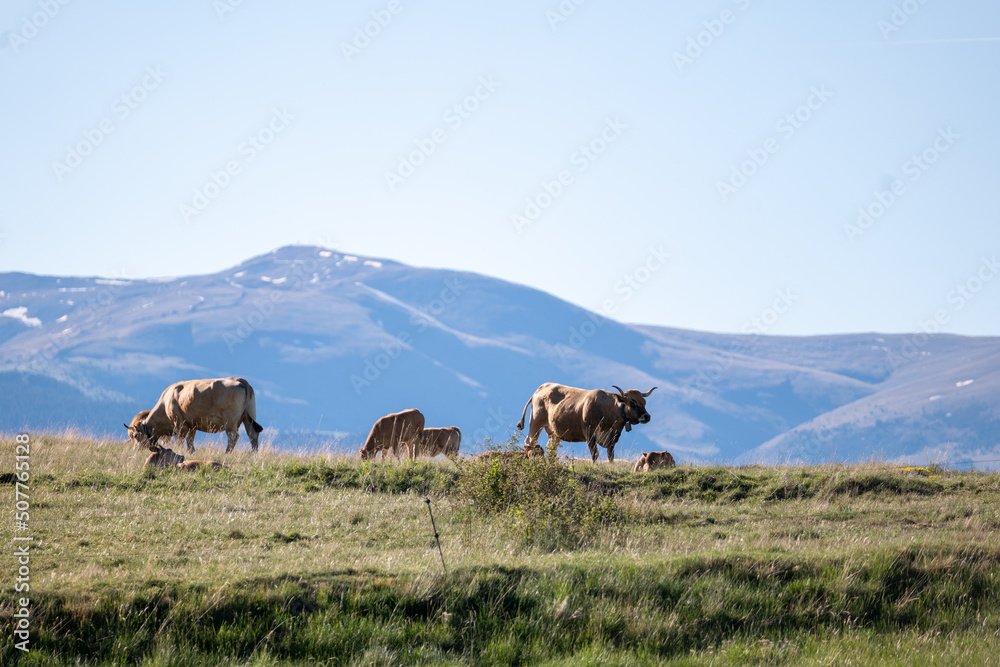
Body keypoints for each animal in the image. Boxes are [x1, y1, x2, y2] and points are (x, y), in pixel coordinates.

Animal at [132, 377, 264, 453]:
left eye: (135, 436)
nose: (136, 449)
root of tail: (240, 380)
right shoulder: (192, 426)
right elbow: (190, 441)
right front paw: (192, 452)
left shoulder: (179, 424)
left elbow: (180, 440)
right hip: (248, 416)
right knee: (252, 434)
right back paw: (254, 453)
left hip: (230, 422)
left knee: (233, 436)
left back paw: (227, 453)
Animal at [516, 383, 656, 462]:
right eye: (632, 402)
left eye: (644, 402)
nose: (647, 416)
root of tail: (544, 386)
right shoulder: (589, 433)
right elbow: (595, 454)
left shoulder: (613, 438)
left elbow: (610, 455)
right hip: (535, 423)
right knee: (529, 441)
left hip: (554, 433)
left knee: (551, 448)